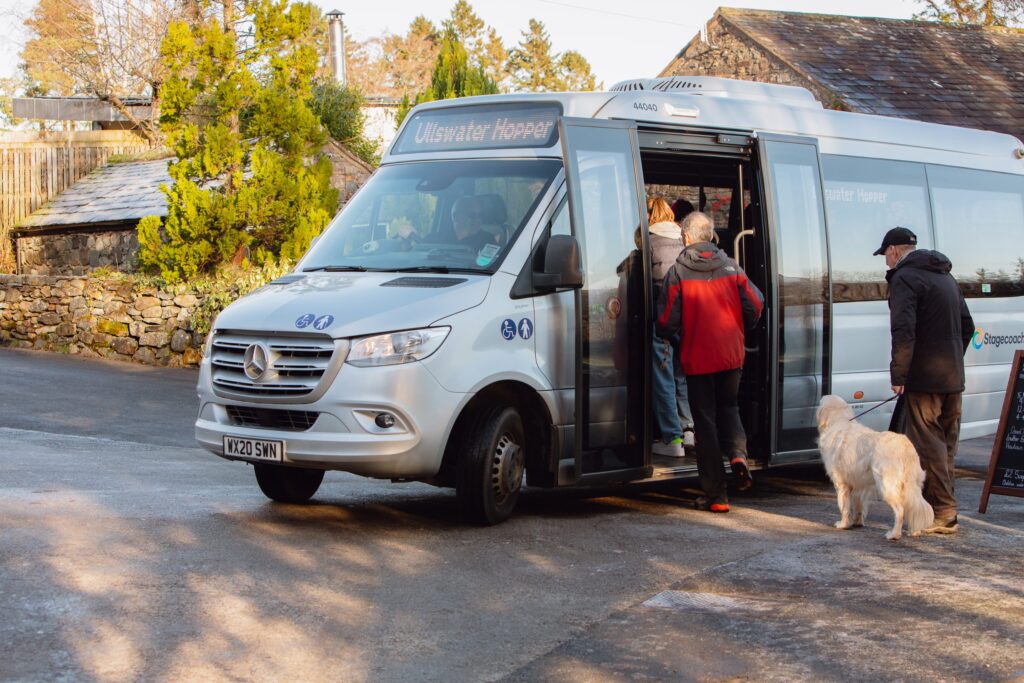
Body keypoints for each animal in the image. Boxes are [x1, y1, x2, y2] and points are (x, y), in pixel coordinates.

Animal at [815, 395, 937, 540]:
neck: (840, 421)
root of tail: (903, 445)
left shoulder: (841, 483)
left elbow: (844, 507)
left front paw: (843, 524)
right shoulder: (860, 485)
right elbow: (859, 505)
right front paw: (857, 522)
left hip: (886, 486)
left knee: (900, 511)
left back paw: (894, 534)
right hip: (913, 484)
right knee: (914, 506)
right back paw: (914, 531)